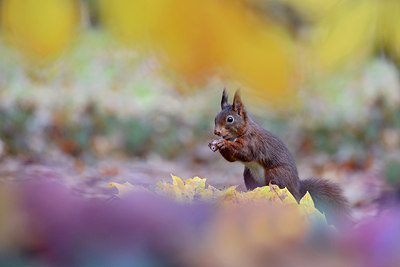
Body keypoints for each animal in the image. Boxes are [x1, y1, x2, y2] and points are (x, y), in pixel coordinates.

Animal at [209, 90, 350, 226]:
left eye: (230, 119)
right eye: (215, 118)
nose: (216, 132)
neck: (245, 129)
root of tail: (298, 189)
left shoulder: (252, 142)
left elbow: (245, 152)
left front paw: (223, 143)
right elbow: (232, 158)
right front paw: (216, 144)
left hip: (277, 174)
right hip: (249, 175)